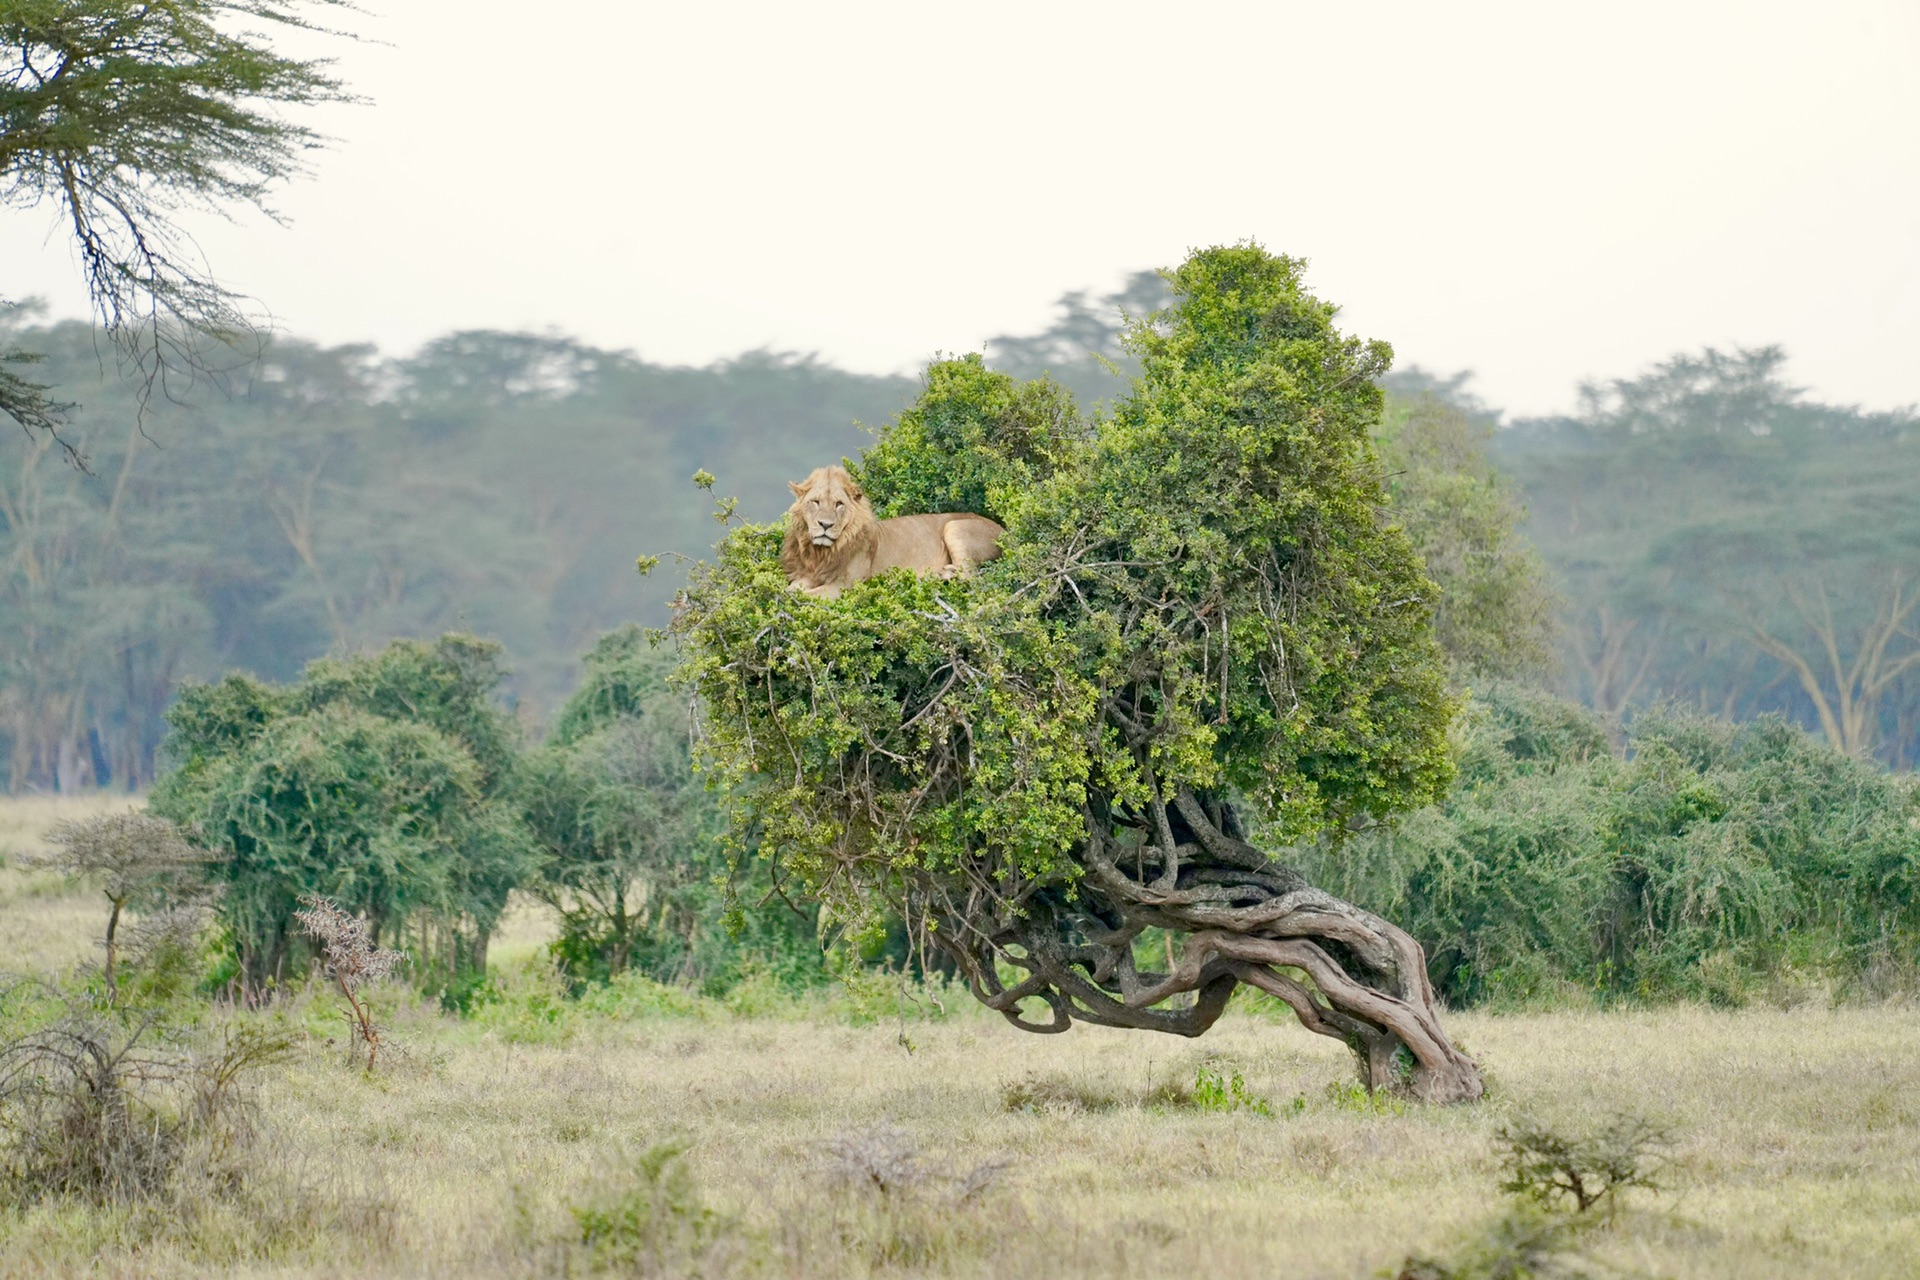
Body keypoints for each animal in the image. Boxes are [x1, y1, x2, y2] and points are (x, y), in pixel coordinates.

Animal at [775, 466, 1006, 602]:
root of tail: (1004, 530)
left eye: (839, 504)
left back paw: (937, 576)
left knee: (971, 577)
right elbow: (793, 589)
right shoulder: (809, 573)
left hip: (954, 526)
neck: (820, 552)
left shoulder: (846, 585)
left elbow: (808, 596)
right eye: (815, 502)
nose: (825, 524)